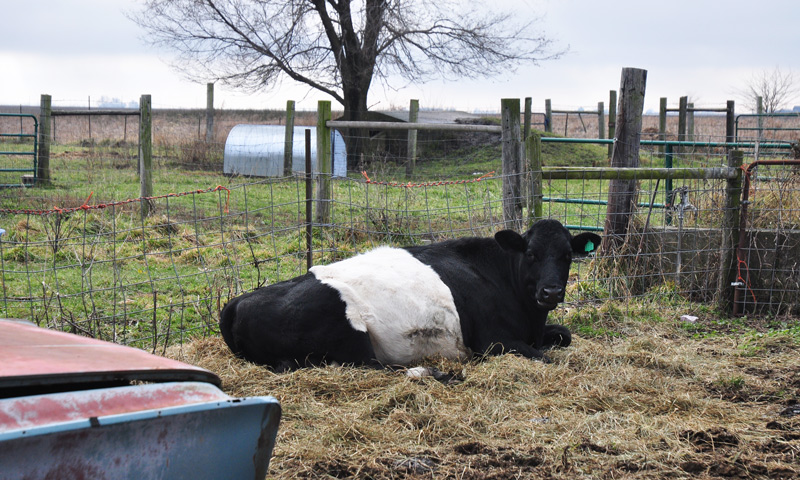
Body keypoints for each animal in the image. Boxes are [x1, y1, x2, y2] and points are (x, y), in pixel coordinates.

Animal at [219, 219, 601, 372]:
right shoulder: (493, 341)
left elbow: (565, 336)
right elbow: (547, 358)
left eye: (567, 256)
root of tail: (238, 302)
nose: (551, 291)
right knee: (374, 366)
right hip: (351, 340)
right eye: (531, 254)